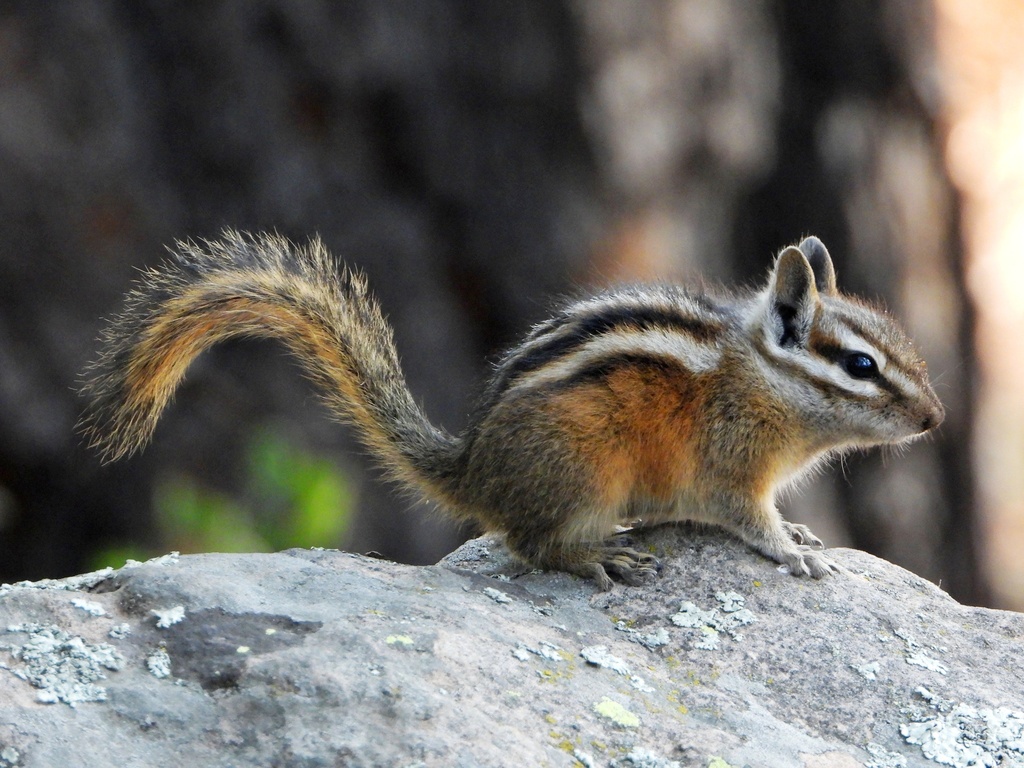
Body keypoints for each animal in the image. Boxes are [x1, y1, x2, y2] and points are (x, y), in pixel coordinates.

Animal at [80, 230, 944, 590]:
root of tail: (473, 468)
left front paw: (803, 531)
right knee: (527, 543)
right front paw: (791, 549)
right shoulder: (731, 467)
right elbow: (745, 517)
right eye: (861, 366)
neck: (763, 378)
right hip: (584, 472)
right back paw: (594, 557)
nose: (937, 421)